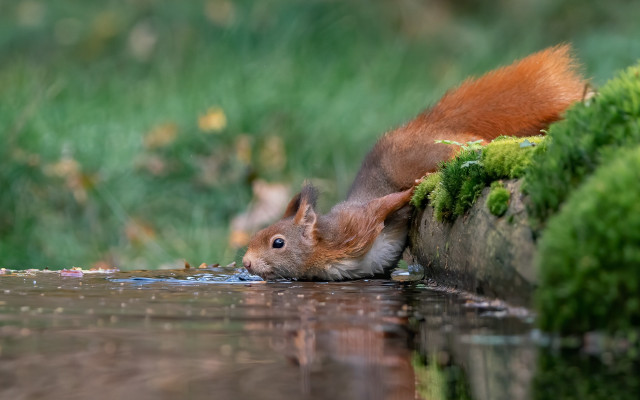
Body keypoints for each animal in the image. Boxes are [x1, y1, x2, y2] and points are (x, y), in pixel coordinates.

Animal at [242, 44, 586, 281]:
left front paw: (411, 193)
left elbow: (385, 205)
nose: (245, 262)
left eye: (277, 243)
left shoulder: (356, 224)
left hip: (421, 154)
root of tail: (425, 128)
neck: (324, 248)